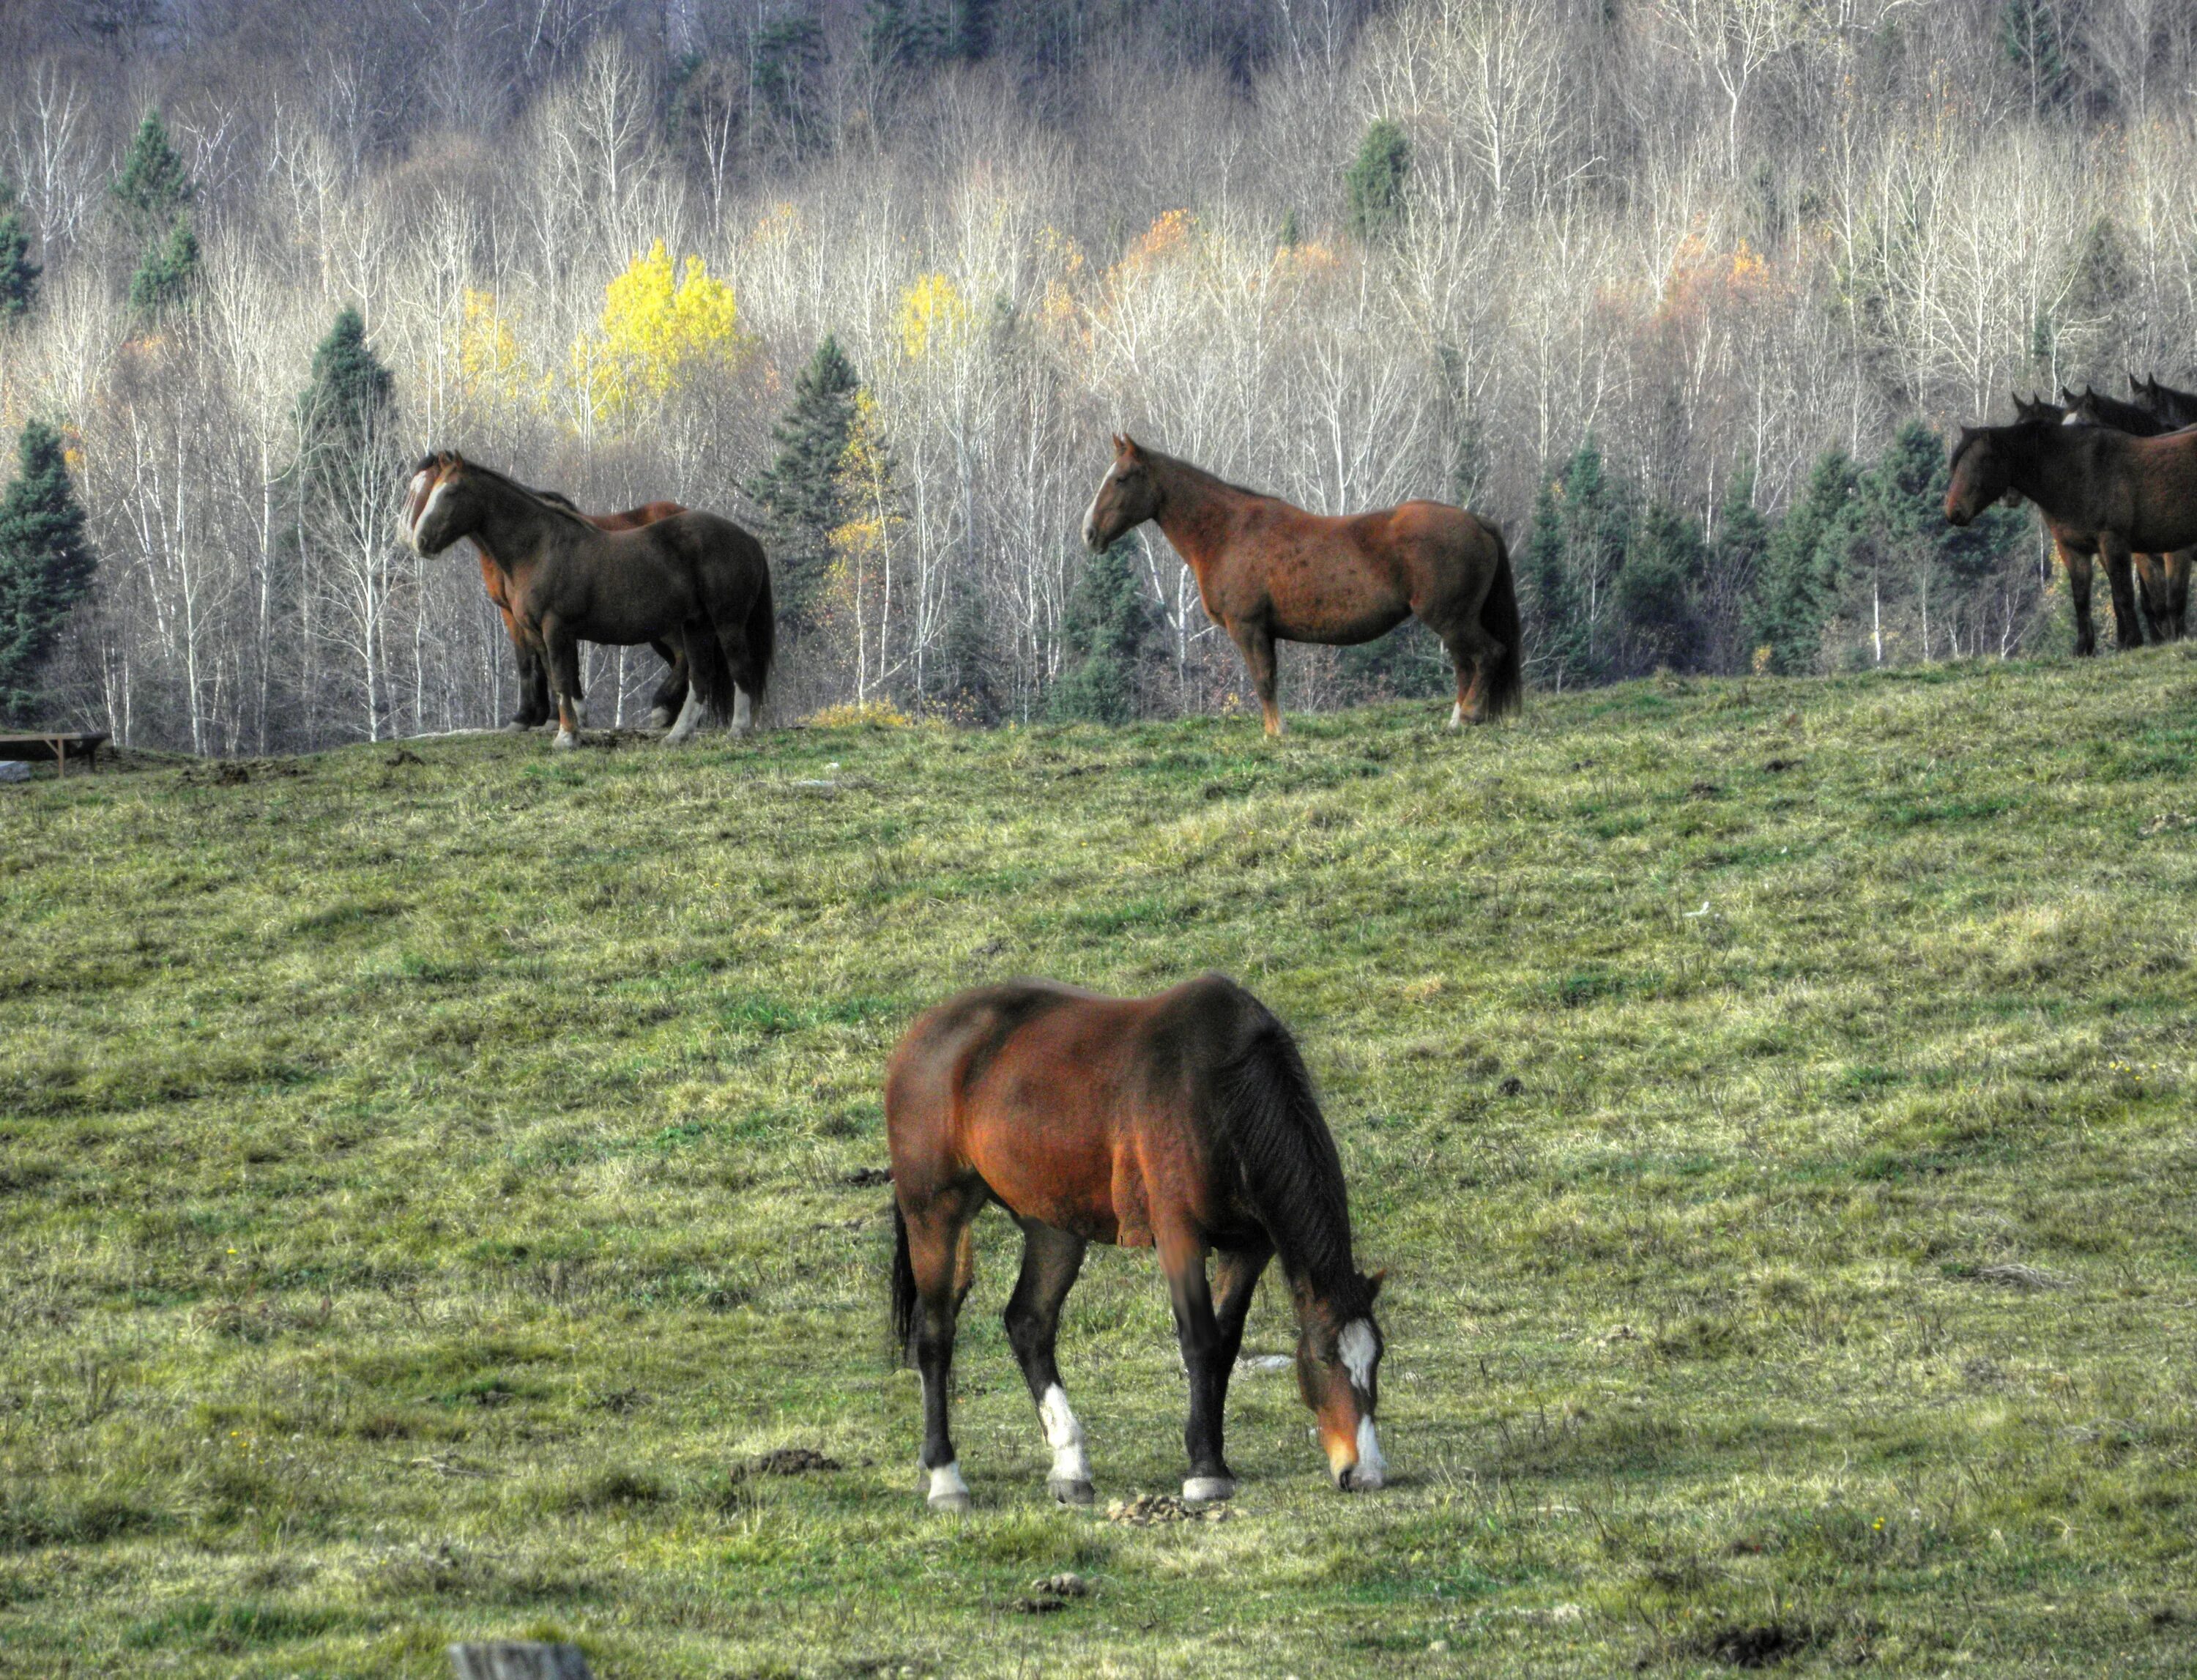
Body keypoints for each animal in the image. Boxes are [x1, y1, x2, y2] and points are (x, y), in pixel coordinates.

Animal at [879, 970, 1380, 1511]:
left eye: (1377, 1360)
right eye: (1324, 1358)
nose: (1365, 1473)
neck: (1221, 1089)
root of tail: (922, 1034)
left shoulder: (1249, 1247)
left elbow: (1225, 1345)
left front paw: (1213, 1457)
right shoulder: (1179, 1236)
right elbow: (1201, 1342)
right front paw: (1205, 1471)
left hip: (1053, 1226)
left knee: (1029, 1323)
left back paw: (1070, 1464)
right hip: (935, 1213)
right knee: (935, 1334)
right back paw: (946, 1477)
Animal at [1077, 439, 1520, 733]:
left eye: (1121, 479)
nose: (1089, 533)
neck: (1228, 532)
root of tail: (1476, 521)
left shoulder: (1249, 628)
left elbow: (1263, 681)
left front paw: (1276, 734)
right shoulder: (1265, 632)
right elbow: (1270, 678)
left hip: (1451, 619)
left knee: (1487, 655)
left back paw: (1468, 716)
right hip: (1453, 622)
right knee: (1466, 664)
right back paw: (1458, 717)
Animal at [1942, 419, 2197, 654]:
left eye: (1981, 462)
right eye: (1956, 465)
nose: (1953, 512)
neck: (2079, 473)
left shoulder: (2113, 543)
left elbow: (2123, 594)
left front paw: (2132, 642)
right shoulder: (2074, 549)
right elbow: (2082, 598)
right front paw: (2085, 648)